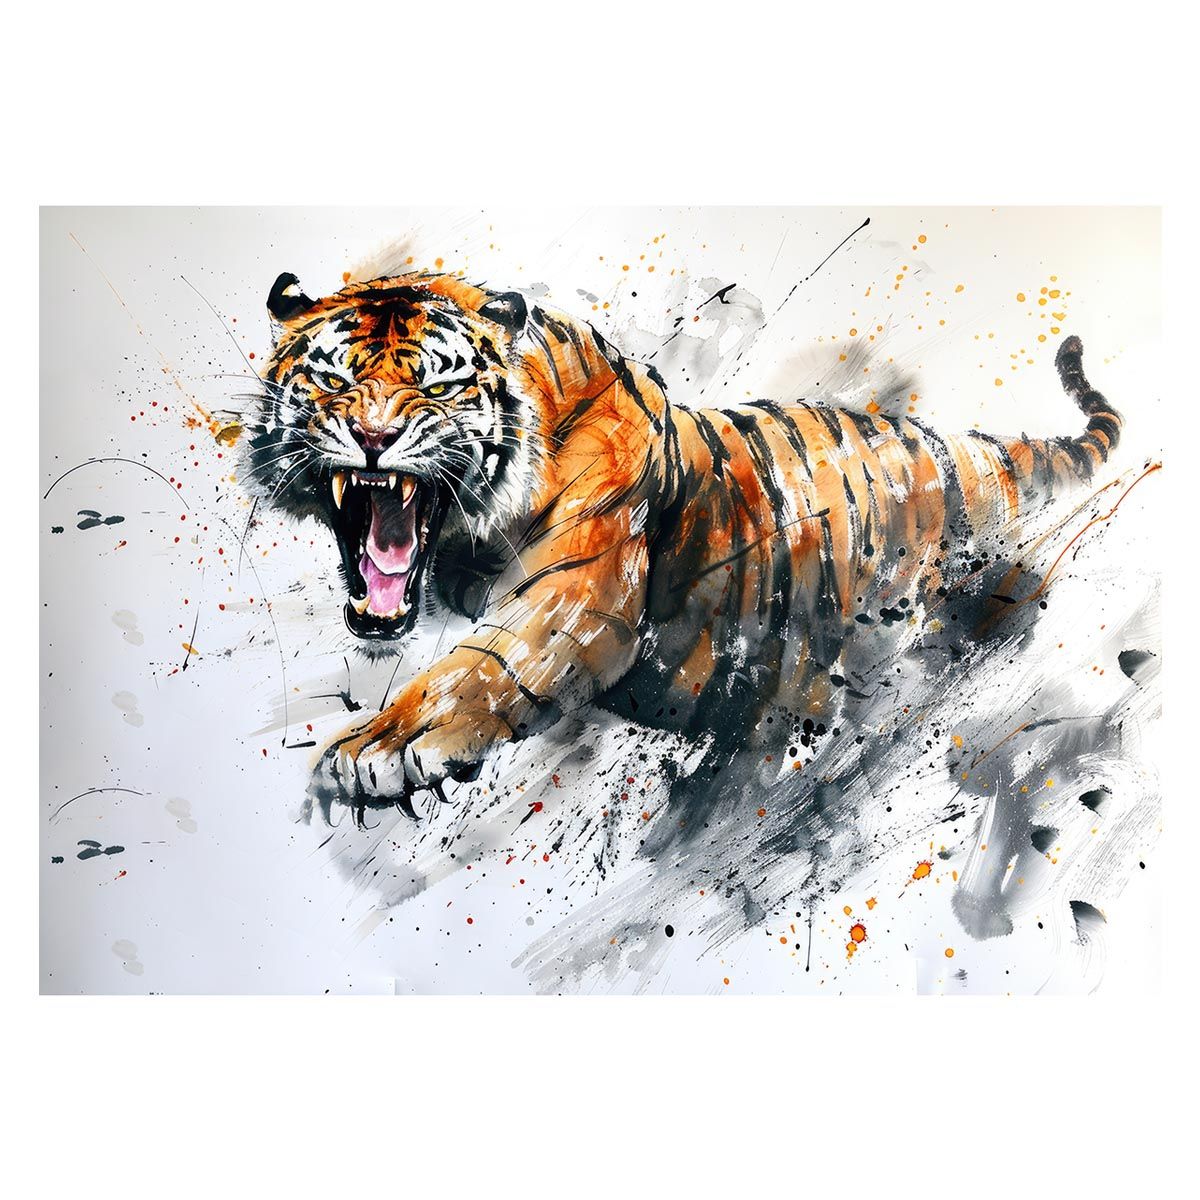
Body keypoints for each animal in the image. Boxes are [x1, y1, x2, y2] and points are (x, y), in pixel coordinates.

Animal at [243, 269, 1122, 821]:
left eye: (438, 385)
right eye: (332, 381)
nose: (373, 437)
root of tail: (957, 448)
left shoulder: (569, 601)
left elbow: (473, 673)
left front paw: (376, 749)